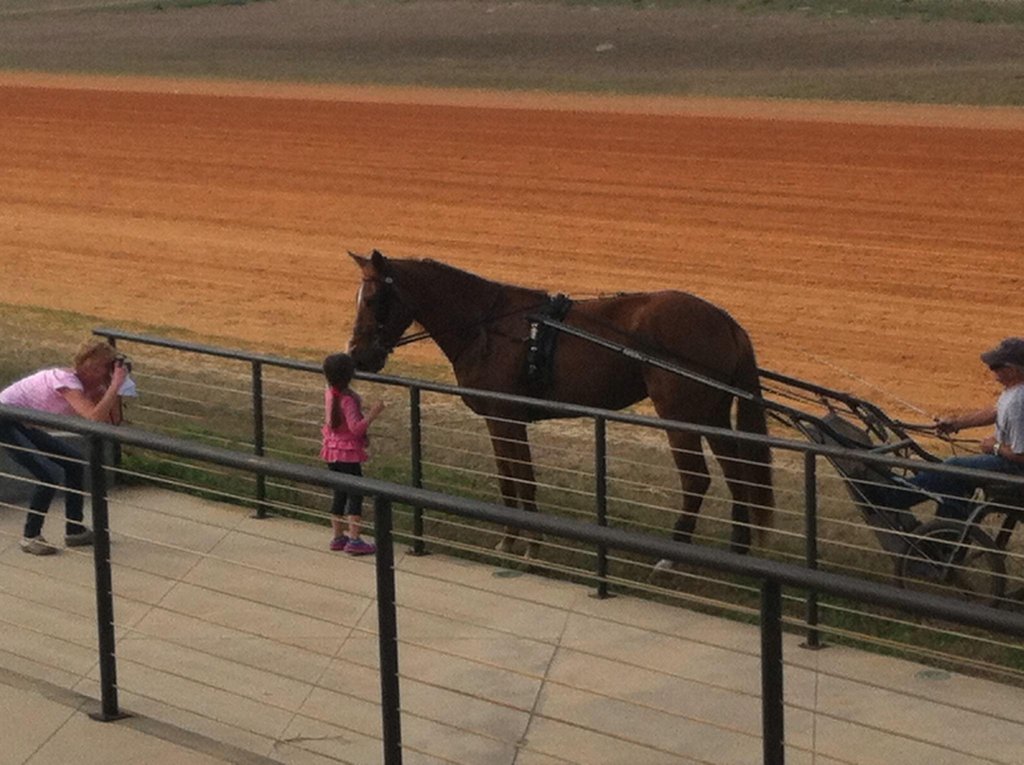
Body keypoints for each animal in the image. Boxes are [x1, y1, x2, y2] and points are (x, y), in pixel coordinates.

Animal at [346, 250, 774, 559]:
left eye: (374, 298)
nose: (358, 355)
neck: (490, 327)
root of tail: (725, 320)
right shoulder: (499, 420)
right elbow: (508, 477)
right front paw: (512, 538)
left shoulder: (507, 418)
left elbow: (522, 477)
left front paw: (528, 542)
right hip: (711, 415)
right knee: (738, 474)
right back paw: (737, 550)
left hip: (681, 417)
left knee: (697, 479)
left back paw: (673, 554)